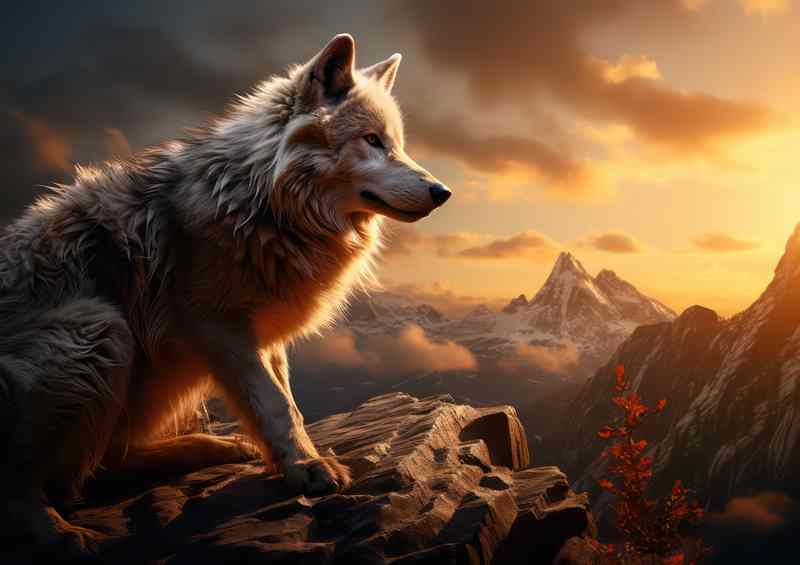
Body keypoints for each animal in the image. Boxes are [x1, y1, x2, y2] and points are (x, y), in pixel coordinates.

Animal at [0, 33, 450, 553]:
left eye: (398, 144)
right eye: (372, 140)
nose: (442, 192)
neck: (260, 201)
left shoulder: (265, 337)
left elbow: (286, 405)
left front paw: (297, 460)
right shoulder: (221, 329)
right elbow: (275, 405)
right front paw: (308, 469)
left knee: (105, 463)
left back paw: (215, 448)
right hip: (97, 331)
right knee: (28, 480)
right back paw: (59, 531)